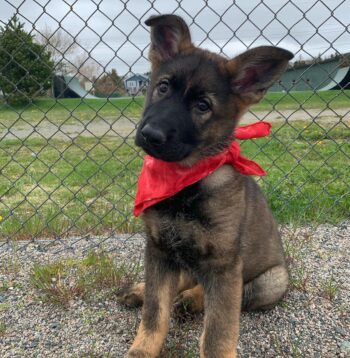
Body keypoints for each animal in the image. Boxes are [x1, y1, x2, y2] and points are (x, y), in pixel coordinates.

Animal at [119, 14, 294, 358]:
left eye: (202, 106)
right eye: (162, 87)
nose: (151, 135)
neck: (183, 181)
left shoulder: (224, 265)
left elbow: (218, 331)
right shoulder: (158, 249)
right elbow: (155, 310)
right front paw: (142, 348)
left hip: (270, 281)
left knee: (233, 294)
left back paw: (191, 299)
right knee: (180, 280)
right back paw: (143, 290)